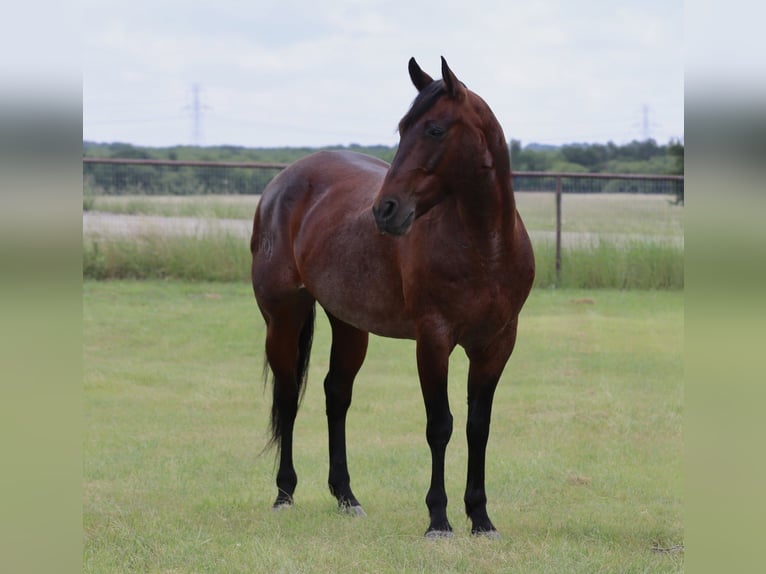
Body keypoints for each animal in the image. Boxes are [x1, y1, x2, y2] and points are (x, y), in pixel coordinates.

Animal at [250, 57, 535, 538]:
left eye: (435, 129)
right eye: (402, 128)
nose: (385, 210)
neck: (486, 245)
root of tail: (280, 185)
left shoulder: (497, 343)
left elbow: (478, 427)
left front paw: (480, 518)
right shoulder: (433, 340)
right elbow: (440, 426)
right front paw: (438, 520)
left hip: (349, 324)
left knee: (336, 395)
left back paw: (347, 497)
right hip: (284, 318)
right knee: (289, 397)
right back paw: (284, 494)